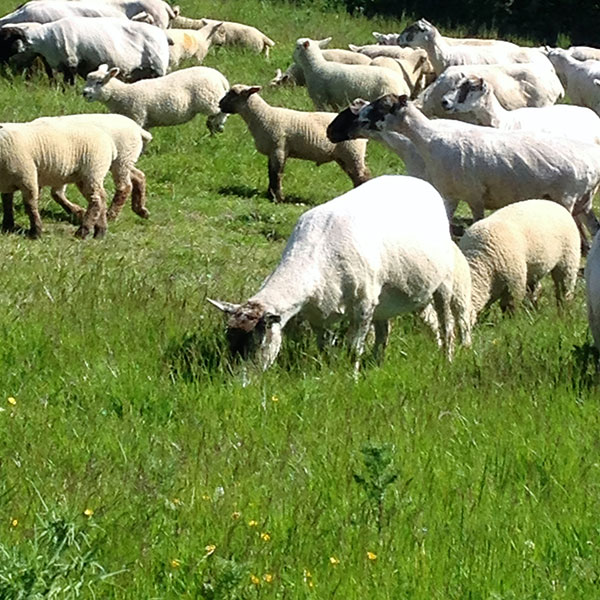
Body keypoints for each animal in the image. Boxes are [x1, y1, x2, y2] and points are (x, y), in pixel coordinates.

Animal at [82, 63, 227, 133]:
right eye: (87, 80)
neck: (122, 94)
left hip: (209, 100)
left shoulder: (137, 115)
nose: (84, 93)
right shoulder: (144, 121)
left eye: (99, 82)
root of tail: (220, 77)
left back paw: (218, 126)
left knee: (221, 112)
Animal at [209, 175, 458, 370]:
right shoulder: (318, 315)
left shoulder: (363, 307)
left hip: (443, 284)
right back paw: (378, 364)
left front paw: (351, 379)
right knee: (388, 331)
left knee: (446, 325)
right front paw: (326, 372)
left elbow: (353, 349)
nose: (239, 383)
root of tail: (419, 181)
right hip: (390, 296)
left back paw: (446, 360)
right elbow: (323, 348)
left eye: (259, 343)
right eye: (228, 339)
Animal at [219, 84, 370, 204]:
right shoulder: (273, 151)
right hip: (345, 156)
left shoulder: (278, 148)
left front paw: (278, 198)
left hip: (353, 152)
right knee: (356, 176)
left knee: (362, 175)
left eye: (234, 93)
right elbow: (271, 172)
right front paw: (270, 195)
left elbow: (276, 174)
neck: (262, 116)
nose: (219, 104)